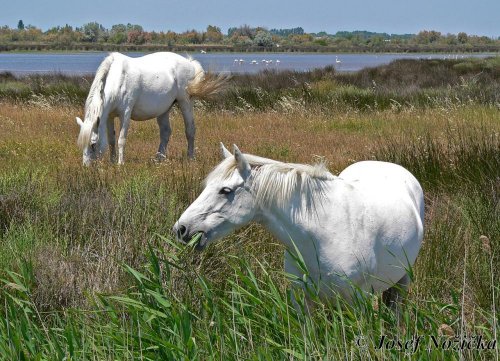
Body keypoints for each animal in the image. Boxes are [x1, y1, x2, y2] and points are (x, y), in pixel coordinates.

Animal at [76, 51, 227, 164]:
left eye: (93, 144)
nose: (87, 166)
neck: (117, 79)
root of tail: (189, 63)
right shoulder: (109, 116)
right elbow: (111, 139)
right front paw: (112, 162)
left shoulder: (125, 114)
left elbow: (121, 139)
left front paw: (120, 163)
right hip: (164, 109)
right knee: (165, 132)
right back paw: (159, 158)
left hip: (186, 102)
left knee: (190, 130)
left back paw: (190, 157)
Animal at [174, 143, 424, 304]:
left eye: (225, 190)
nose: (181, 229)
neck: (321, 234)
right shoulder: (301, 299)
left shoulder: (356, 301)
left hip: (402, 282)